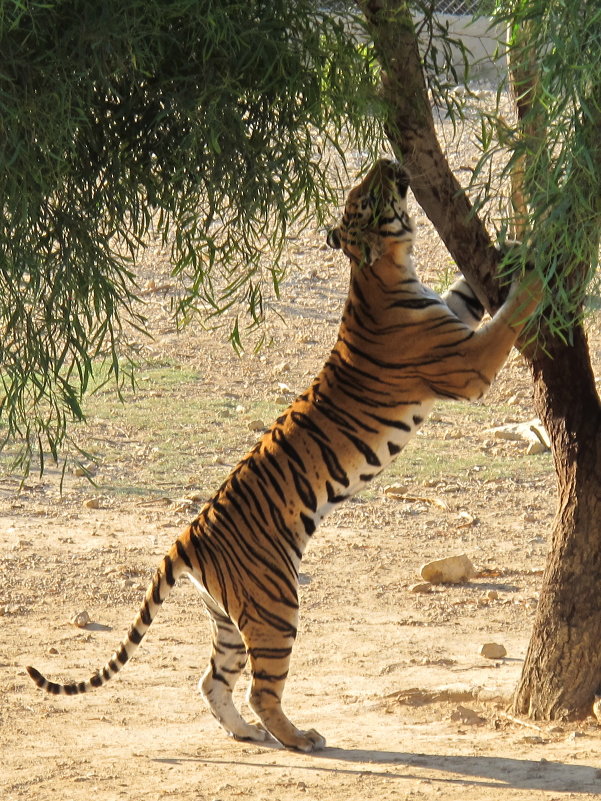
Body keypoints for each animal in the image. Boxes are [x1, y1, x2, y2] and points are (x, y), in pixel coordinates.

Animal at [27, 158, 540, 752]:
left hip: (229, 618)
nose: (388, 161)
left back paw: (246, 734)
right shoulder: (469, 363)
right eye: (367, 196)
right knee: (260, 689)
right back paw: (299, 737)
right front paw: (539, 263)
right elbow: (509, 316)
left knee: (211, 680)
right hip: (277, 606)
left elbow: (468, 290)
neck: (382, 270)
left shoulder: (455, 312)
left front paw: (515, 239)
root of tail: (187, 536)